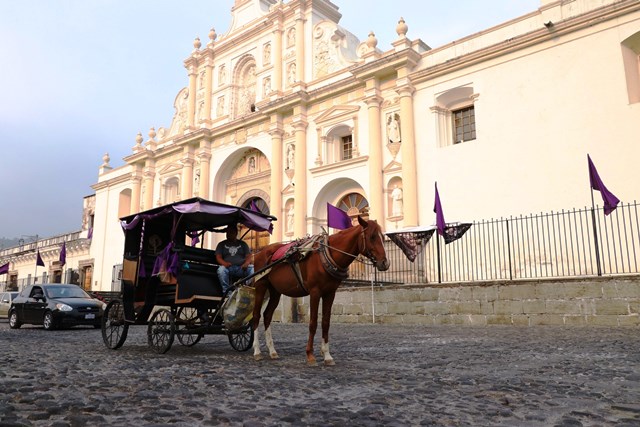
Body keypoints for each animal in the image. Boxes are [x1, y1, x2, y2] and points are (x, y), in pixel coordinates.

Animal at [250, 217, 390, 368]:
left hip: (275, 291)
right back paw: (257, 351)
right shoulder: (315, 292)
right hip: (261, 286)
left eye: (383, 237)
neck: (326, 255)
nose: (385, 263)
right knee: (256, 315)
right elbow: (313, 323)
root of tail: (260, 253)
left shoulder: (330, 293)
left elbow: (326, 323)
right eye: (372, 237)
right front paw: (310, 355)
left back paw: (272, 351)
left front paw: (327, 355)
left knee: (267, 315)